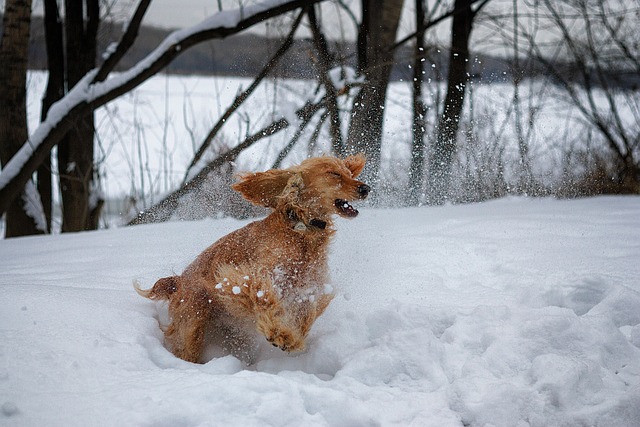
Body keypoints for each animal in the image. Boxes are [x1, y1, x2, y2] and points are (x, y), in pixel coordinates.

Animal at [135, 155, 370, 362]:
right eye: (333, 173)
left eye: (349, 172)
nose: (365, 189)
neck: (300, 231)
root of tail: (178, 282)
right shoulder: (246, 278)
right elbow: (265, 300)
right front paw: (280, 334)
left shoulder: (308, 288)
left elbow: (306, 314)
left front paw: (293, 338)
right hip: (192, 323)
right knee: (185, 349)